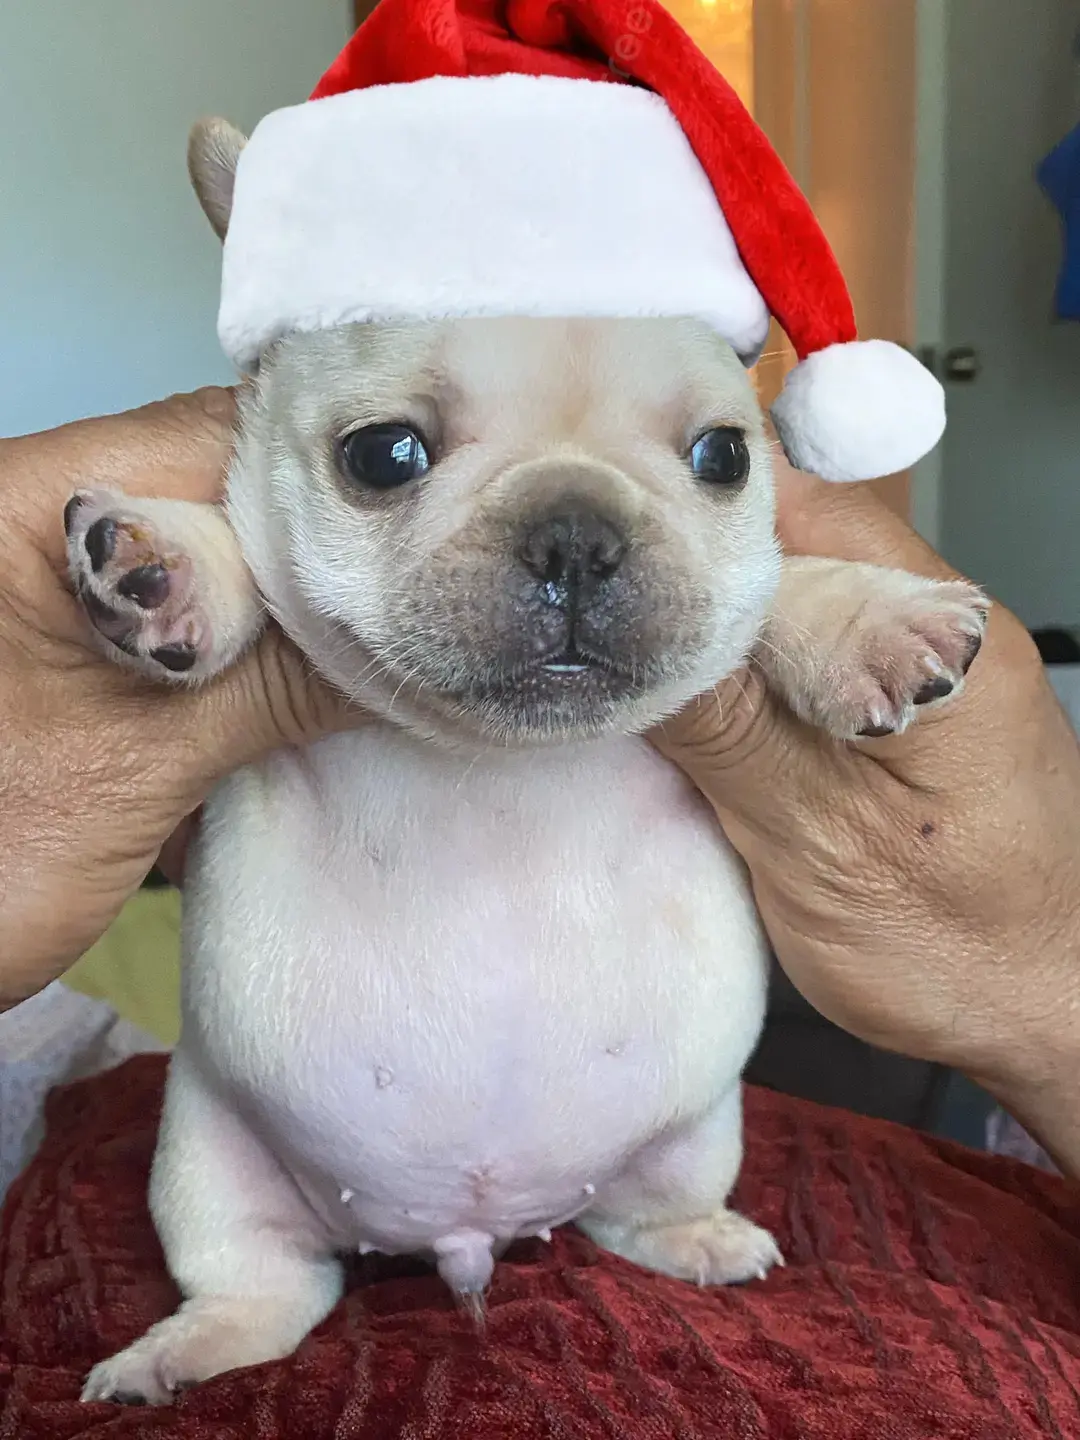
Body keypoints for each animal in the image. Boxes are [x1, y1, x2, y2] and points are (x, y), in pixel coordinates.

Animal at [67, 123, 990, 1405]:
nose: (575, 533)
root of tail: (467, 1234)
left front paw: (876, 622)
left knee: (626, 1217)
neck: (498, 756)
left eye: (723, 456)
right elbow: (243, 563)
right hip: (201, 1157)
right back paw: (182, 1354)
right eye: (385, 455)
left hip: (696, 1133)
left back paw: (702, 1242)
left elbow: (773, 599)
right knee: (269, 1286)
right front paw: (167, 568)